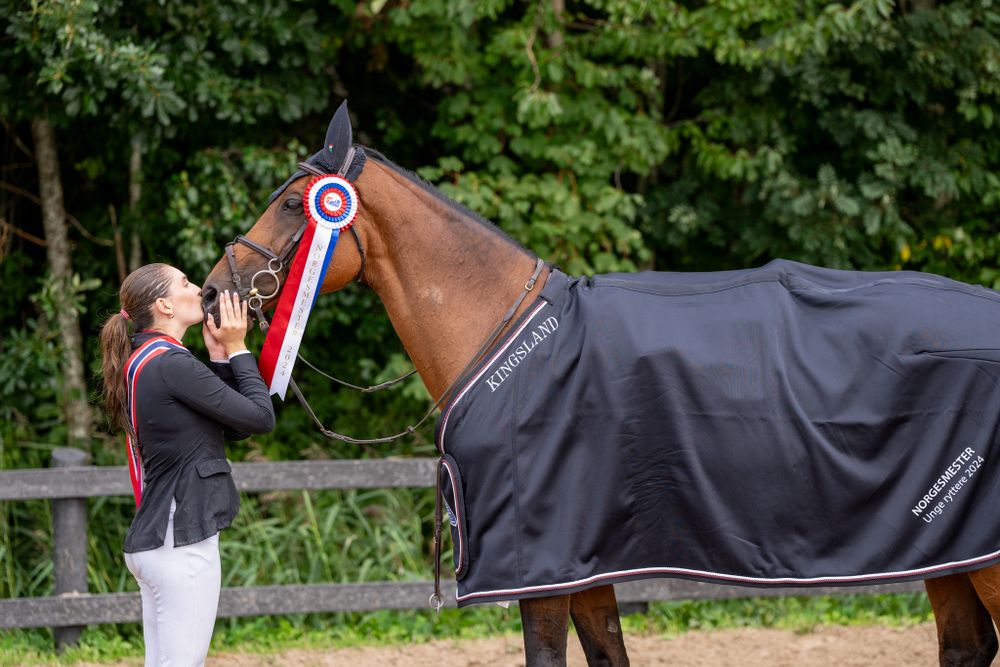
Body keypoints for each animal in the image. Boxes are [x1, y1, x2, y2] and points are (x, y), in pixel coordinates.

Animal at [203, 104, 1000, 667]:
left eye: (292, 202)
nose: (213, 293)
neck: (501, 329)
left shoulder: (543, 568)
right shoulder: (586, 566)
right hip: (942, 550)